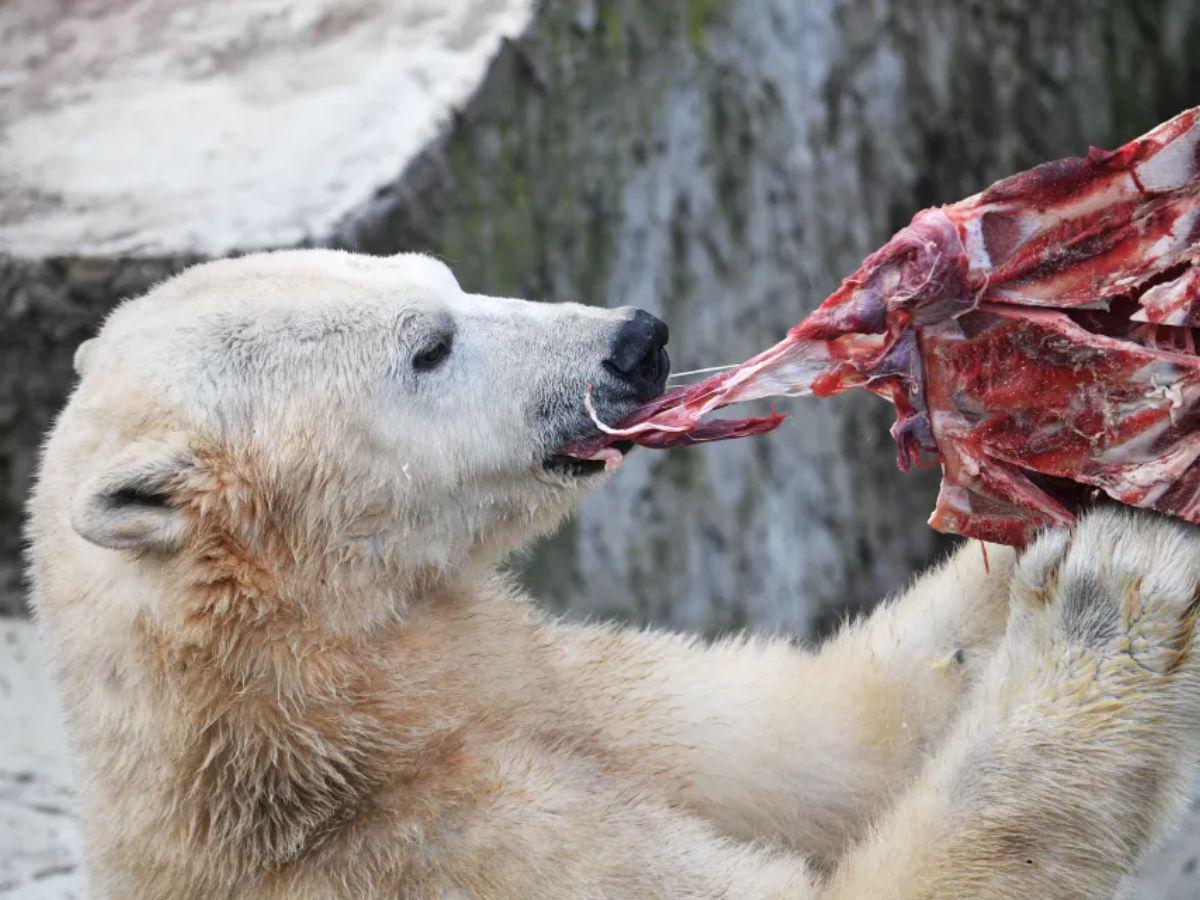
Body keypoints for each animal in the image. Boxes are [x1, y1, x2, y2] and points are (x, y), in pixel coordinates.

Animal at [26, 248, 1200, 898]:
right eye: (428, 346)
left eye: (440, 276)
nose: (636, 340)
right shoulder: (439, 852)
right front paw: (1119, 587)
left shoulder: (547, 685)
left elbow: (825, 744)